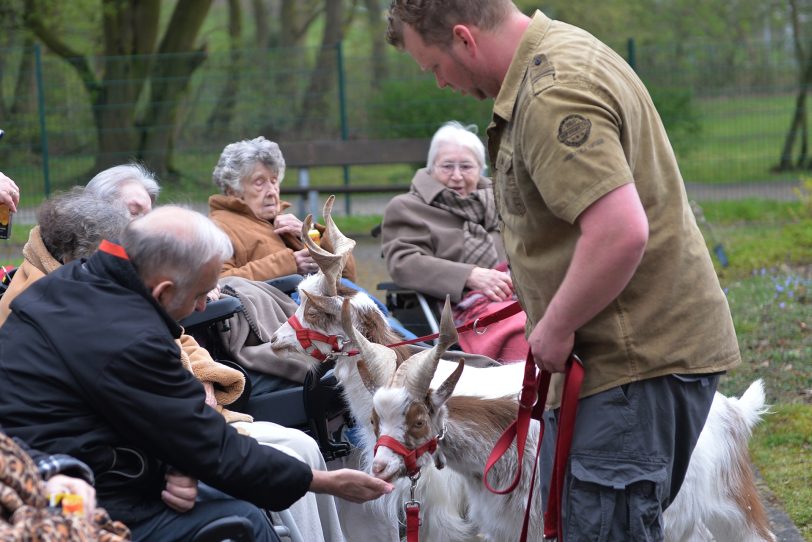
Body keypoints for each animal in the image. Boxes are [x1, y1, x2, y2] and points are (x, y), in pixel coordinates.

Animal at [354, 302, 772, 542]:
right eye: (375, 420)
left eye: (418, 421)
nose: (379, 467)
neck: (504, 446)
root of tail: (735, 410)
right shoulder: (506, 529)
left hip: (734, 508)